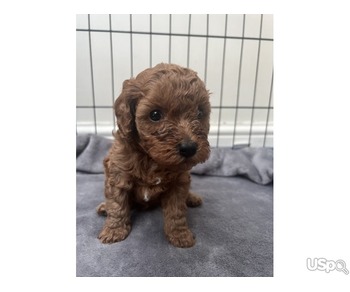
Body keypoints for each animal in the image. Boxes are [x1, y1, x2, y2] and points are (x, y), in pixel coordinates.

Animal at [96, 62, 211, 248]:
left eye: (200, 113)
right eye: (155, 115)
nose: (189, 148)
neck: (151, 159)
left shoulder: (179, 182)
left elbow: (176, 211)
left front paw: (180, 235)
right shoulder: (118, 174)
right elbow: (117, 204)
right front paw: (114, 231)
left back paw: (192, 198)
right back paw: (104, 207)